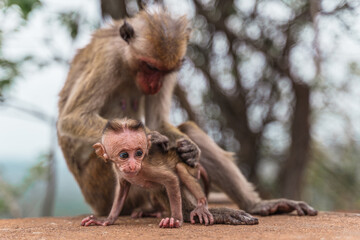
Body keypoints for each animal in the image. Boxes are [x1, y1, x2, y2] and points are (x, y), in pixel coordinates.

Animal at [81, 118, 214, 229]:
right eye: (124, 155)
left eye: (139, 153)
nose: (133, 165)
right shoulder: (118, 171)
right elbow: (122, 191)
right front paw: (107, 220)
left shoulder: (147, 168)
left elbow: (171, 179)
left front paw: (176, 220)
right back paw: (154, 211)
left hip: (192, 169)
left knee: (180, 168)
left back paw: (201, 204)